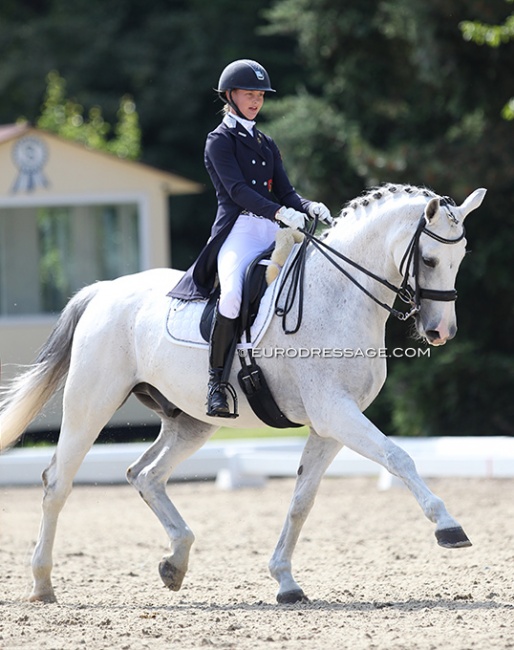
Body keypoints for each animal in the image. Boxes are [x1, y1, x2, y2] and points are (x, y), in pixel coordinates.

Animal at [0, 182, 482, 604]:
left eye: (460, 258)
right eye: (430, 259)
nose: (441, 332)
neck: (340, 295)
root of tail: (103, 292)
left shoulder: (329, 426)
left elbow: (301, 501)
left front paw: (285, 582)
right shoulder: (336, 413)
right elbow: (398, 457)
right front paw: (449, 526)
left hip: (192, 422)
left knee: (145, 474)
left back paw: (175, 562)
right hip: (91, 403)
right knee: (57, 483)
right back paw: (42, 585)